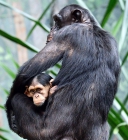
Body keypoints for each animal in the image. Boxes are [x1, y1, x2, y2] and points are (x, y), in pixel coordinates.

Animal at [5, 4, 120, 140]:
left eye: (57, 21)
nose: (51, 28)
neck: (89, 25)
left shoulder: (66, 34)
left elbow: (26, 71)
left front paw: (9, 113)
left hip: (44, 133)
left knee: (17, 99)